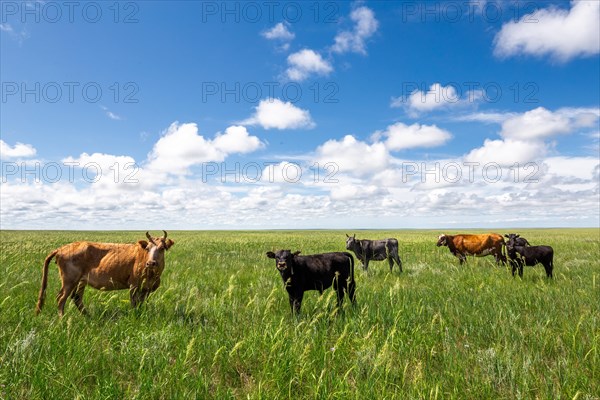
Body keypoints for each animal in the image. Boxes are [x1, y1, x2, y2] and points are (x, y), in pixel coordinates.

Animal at [36, 231, 175, 316]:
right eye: (147, 248)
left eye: (162, 248)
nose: (151, 263)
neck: (152, 275)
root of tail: (62, 248)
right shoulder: (134, 284)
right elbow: (134, 302)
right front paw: (135, 315)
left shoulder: (146, 288)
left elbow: (141, 303)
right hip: (69, 280)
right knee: (61, 298)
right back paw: (63, 320)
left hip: (80, 281)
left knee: (76, 298)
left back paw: (87, 316)